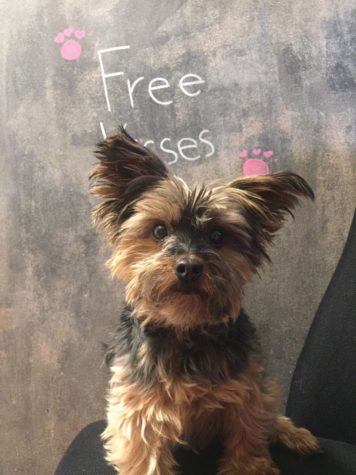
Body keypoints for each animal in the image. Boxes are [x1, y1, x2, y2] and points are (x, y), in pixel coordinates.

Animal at [89, 128, 320, 474]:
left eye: (218, 237)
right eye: (159, 230)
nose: (188, 266)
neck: (186, 328)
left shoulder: (244, 396)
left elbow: (249, 440)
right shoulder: (140, 412)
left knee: (270, 409)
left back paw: (294, 434)